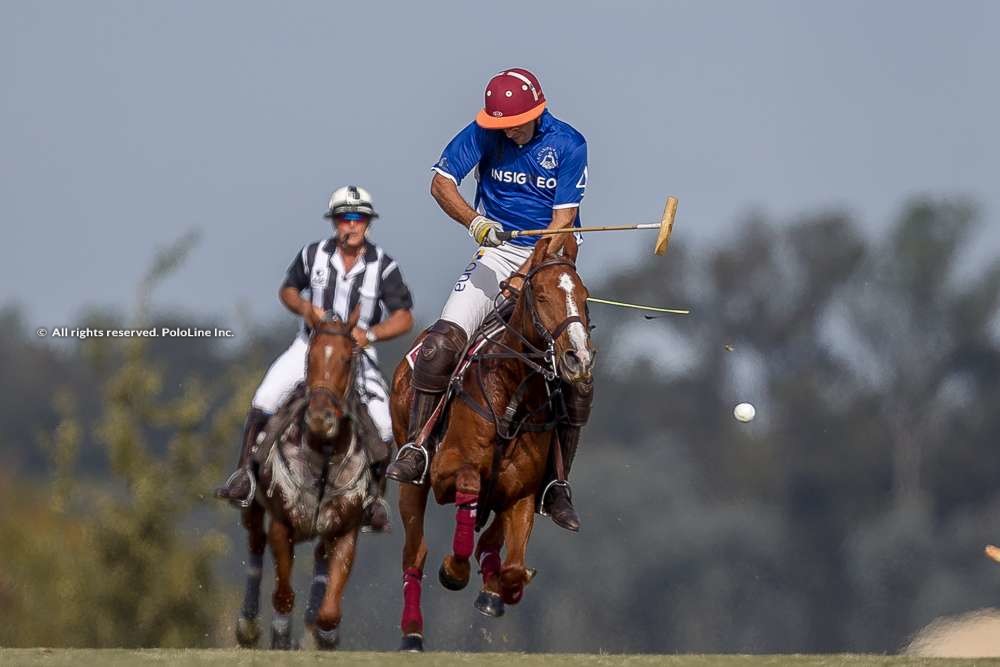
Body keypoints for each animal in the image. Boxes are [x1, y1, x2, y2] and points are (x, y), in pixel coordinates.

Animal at [236, 314, 376, 652]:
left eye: (347, 359)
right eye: (310, 357)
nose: (320, 418)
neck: (323, 455)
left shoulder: (345, 528)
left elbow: (329, 610)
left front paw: (322, 635)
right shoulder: (282, 525)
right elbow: (283, 594)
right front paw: (280, 638)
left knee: (320, 558)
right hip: (253, 507)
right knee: (255, 543)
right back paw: (248, 626)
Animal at [388, 239, 592, 652]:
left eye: (584, 297)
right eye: (541, 295)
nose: (578, 358)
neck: (513, 395)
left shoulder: (523, 493)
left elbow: (513, 566)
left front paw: (503, 588)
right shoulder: (448, 472)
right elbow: (468, 485)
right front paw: (454, 569)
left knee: (491, 538)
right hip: (410, 479)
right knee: (415, 552)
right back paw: (412, 632)